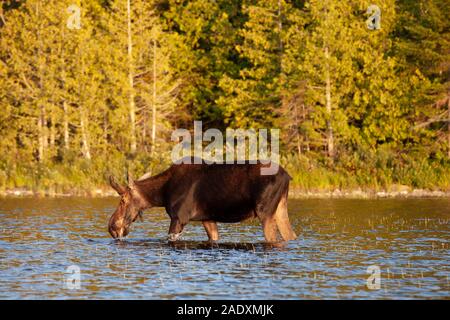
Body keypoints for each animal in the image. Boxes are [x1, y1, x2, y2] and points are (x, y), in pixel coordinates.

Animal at [107, 158, 298, 242]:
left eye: (122, 200)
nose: (111, 227)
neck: (162, 193)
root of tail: (287, 176)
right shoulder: (207, 218)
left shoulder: (178, 218)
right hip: (280, 209)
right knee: (291, 236)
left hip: (265, 212)